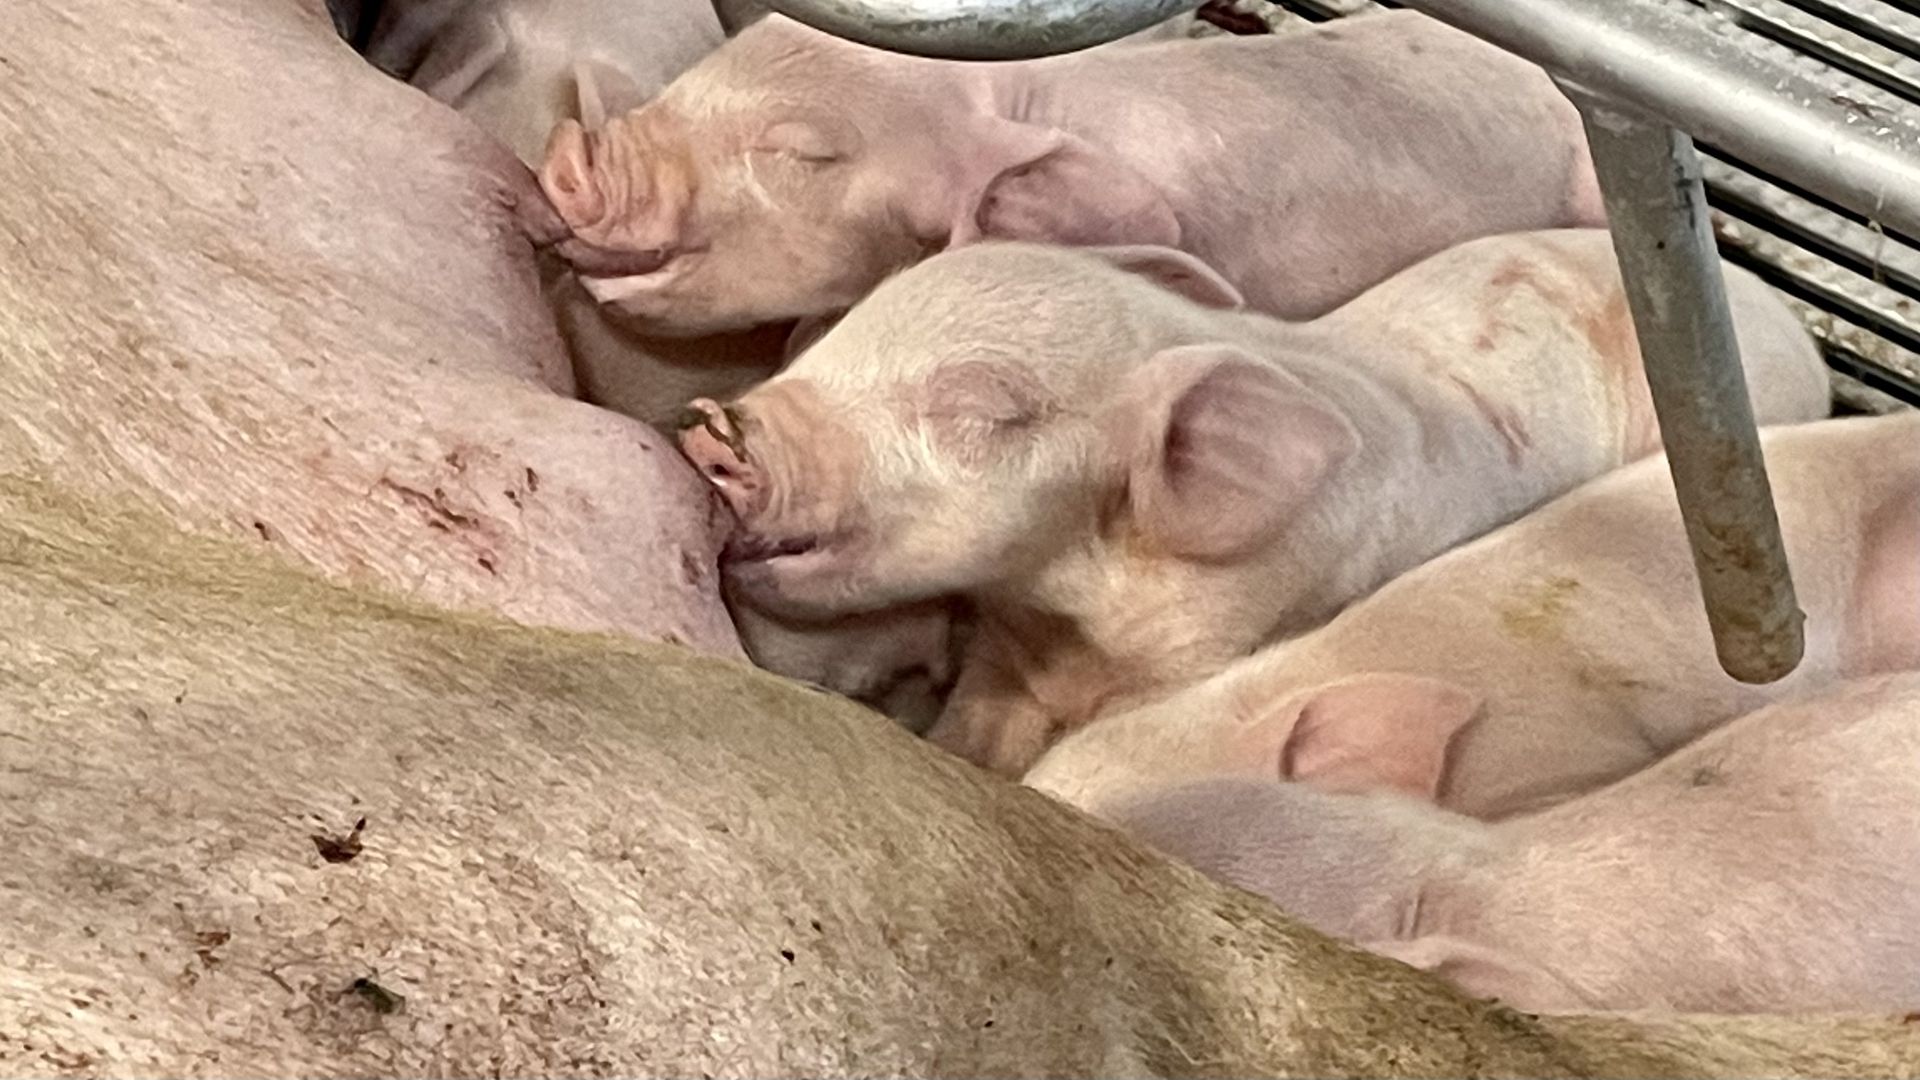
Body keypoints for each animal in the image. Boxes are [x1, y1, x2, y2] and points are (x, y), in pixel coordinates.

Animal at [679, 231, 1831, 775]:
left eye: (986, 411)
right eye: (856, 318)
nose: (717, 427)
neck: (1073, 619)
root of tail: (1794, 327)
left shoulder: (1211, 653)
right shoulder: (1006, 648)